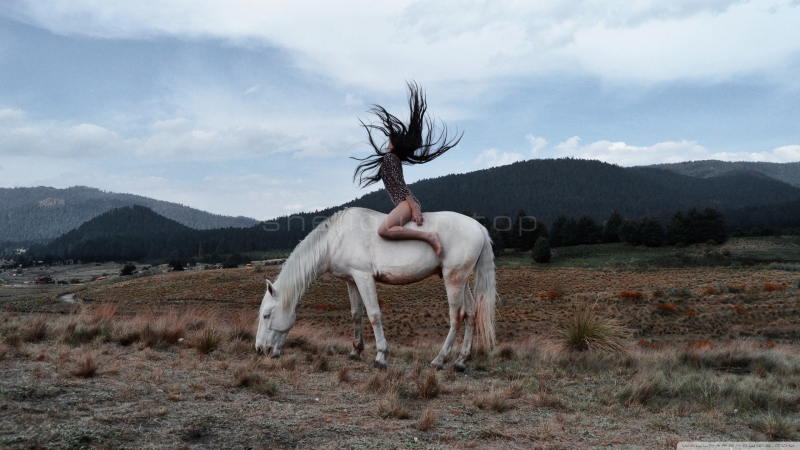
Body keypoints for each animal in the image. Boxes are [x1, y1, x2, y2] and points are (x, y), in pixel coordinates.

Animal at [256, 207, 494, 370]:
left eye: (266, 315)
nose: (259, 350)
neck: (336, 239)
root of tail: (478, 227)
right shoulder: (351, 280)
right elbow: (356, 315)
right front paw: (355, 351)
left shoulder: (364, 277)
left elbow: (373, 315)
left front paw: (381, 357)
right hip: (461, 280)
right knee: (471, 313)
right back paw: (461, 361)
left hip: (453, 279)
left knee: (457, 316)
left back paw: (440, 359)